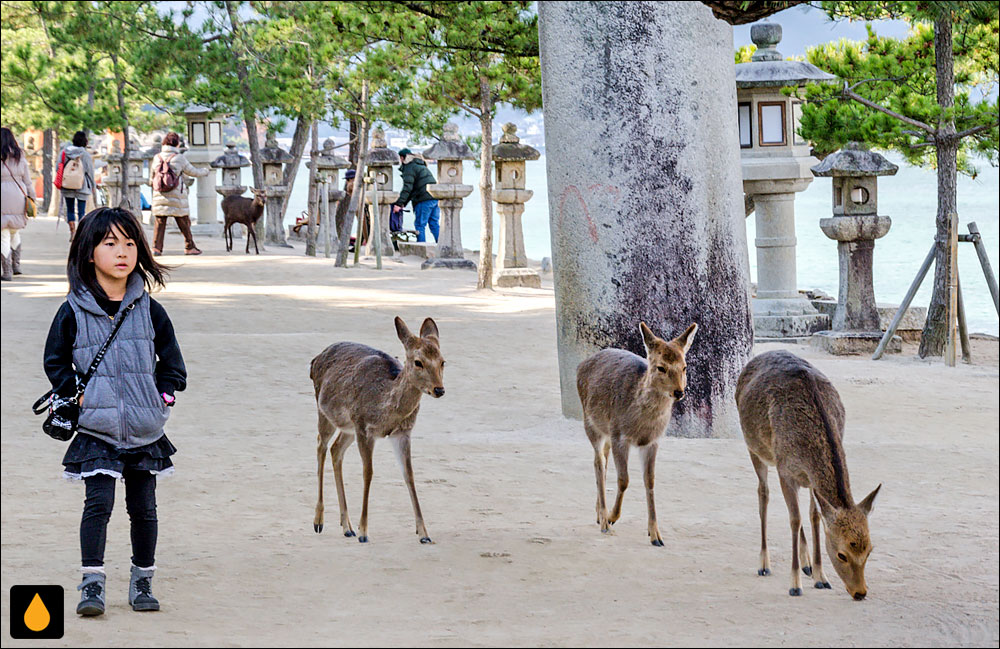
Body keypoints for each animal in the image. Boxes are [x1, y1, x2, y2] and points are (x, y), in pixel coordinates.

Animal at [308, 316, 442, 544]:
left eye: (443, 361)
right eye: (418, 362)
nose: (439, 389)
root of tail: (314, 361)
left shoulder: (402, 433)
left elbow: (409, 474)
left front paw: (424, 534)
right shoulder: (364, 427)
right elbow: (368, 472)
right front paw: (364, 532)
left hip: (347, 427)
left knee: (336, 449)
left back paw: (346, 526)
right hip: (325, 411)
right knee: (320, 446)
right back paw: (319, 522)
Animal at [576, 322, 700, 544]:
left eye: (684, 366)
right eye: (661, 367)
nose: (679, 392)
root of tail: (581, 365)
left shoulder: (653, 441)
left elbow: (649, 480)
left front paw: (656, 535)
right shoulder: (619, 436)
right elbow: (624, 479)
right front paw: (613, 517)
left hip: (606, 432)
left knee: (603, 459)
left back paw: (598, 514)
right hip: (591, 424)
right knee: (598, 462)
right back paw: (604, 522)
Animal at [736, 352, 884, 600]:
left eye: (870, 550)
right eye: (842, 554)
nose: (860, 592)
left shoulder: (808, 479)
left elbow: (814, 516)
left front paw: (820, 577)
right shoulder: (785, 469)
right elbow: (794, 519)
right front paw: (795, 585)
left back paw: (806, 564)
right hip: (754, 449)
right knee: (763, 492)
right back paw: (764, 564)